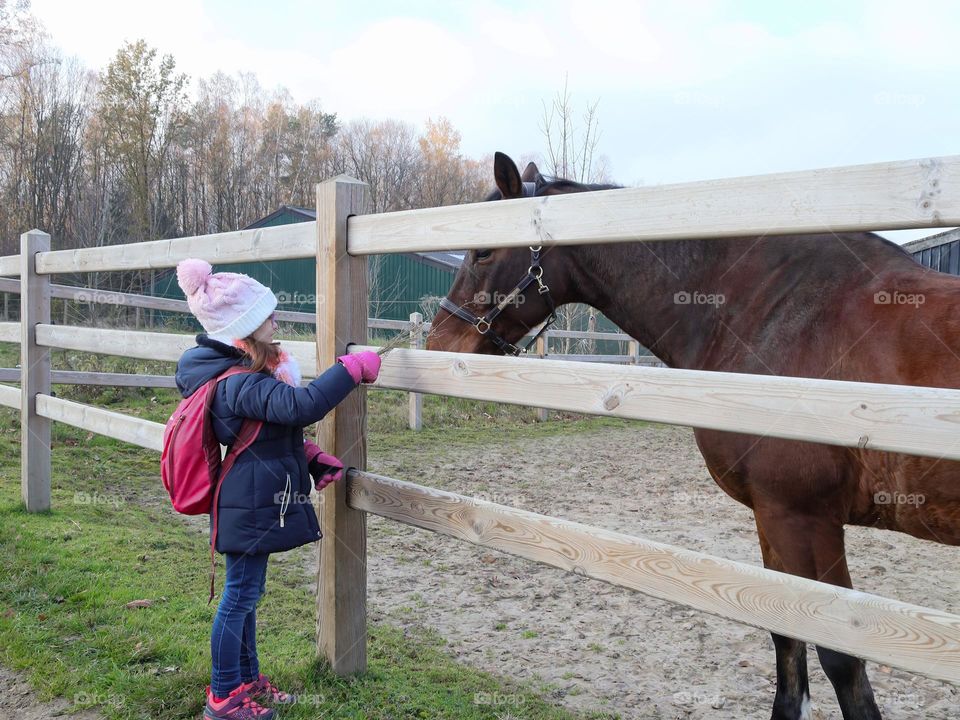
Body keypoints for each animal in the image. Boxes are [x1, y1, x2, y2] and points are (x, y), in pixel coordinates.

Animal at [426, 152, 960, 720]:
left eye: (483, 250)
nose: (438, 343)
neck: (777, 315)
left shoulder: (805, 516)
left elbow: (842, 659)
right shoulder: (772, 515)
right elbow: (786, 638)